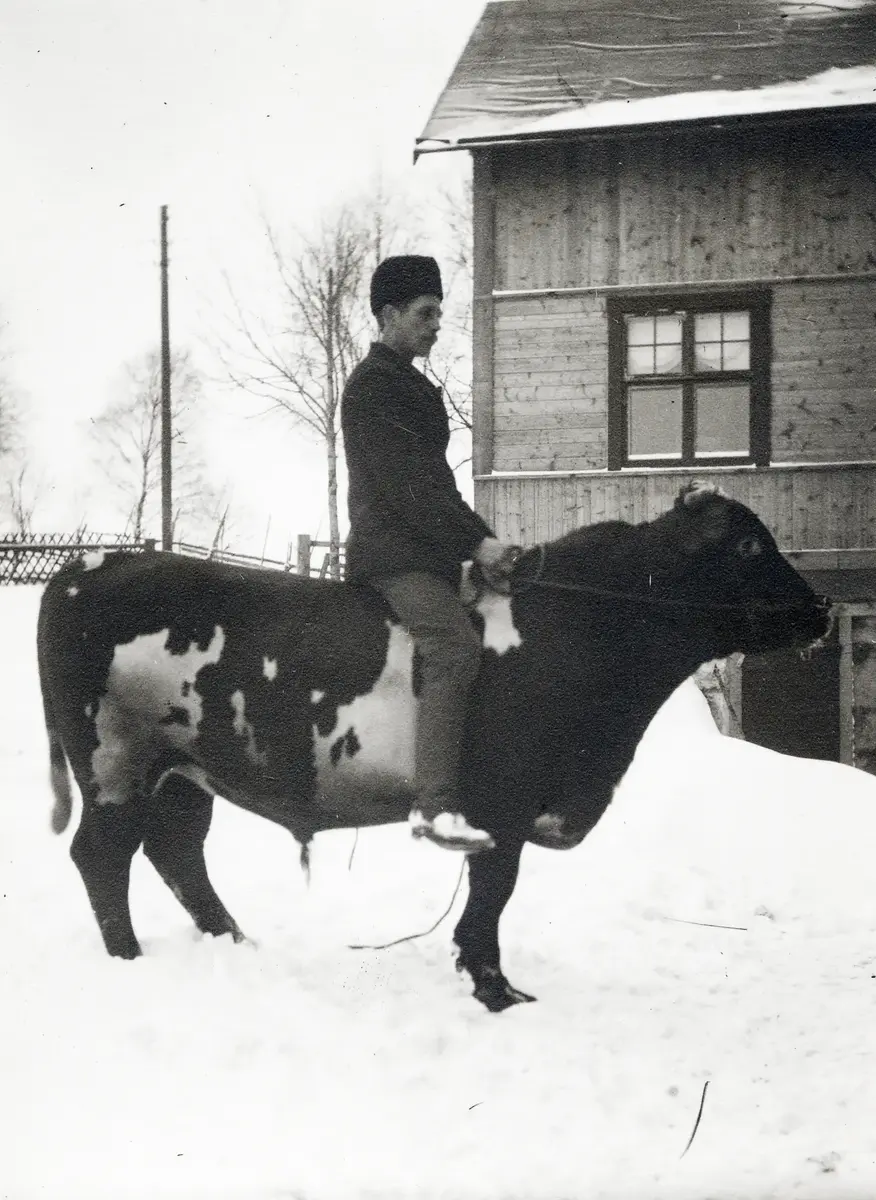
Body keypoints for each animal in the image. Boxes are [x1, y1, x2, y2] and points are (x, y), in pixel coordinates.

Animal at [37, 485, 830, 1012]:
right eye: (750, 544)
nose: (821, 608)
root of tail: (89, 566)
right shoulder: (501, 804)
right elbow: (492, 894)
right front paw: (495, 989)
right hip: (115, 759)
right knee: (103, 855)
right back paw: (130, 959)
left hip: (182, 772)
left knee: (175, 851)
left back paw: (234, 942)